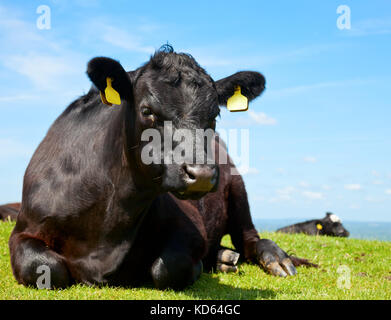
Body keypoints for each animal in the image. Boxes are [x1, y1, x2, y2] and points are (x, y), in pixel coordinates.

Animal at [9, 45, 316, 290]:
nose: (202, 175)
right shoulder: (23, 229)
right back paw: (224, 258)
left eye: (215, 114)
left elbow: (167, 268)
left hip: (239, 191)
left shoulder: (190, 228)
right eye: (147, 111)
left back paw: (274, 259)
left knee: (251, 240)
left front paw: (198, 267)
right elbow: (44, 268)